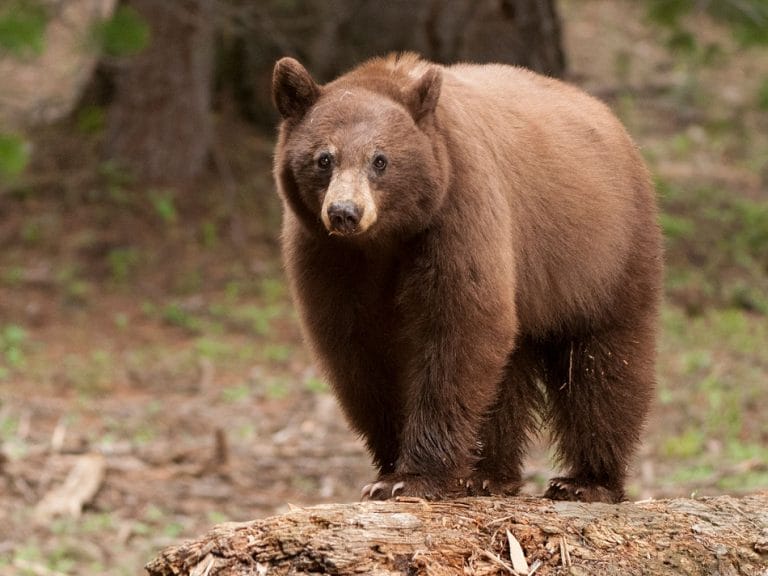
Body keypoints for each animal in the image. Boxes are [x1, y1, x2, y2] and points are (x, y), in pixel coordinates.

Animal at [271, 53, 663, 503]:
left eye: (380, 160)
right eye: (324, 158)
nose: (344, 213)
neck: (386, 239)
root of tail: (611, 119)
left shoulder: (458, 208)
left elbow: (460, 324)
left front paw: (414, 476)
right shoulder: (329, 254)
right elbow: (358, 345)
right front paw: (389, 466)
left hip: (605, 256)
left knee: (603, 364)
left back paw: (587, 480)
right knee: (508, 369)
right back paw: (489, 474)